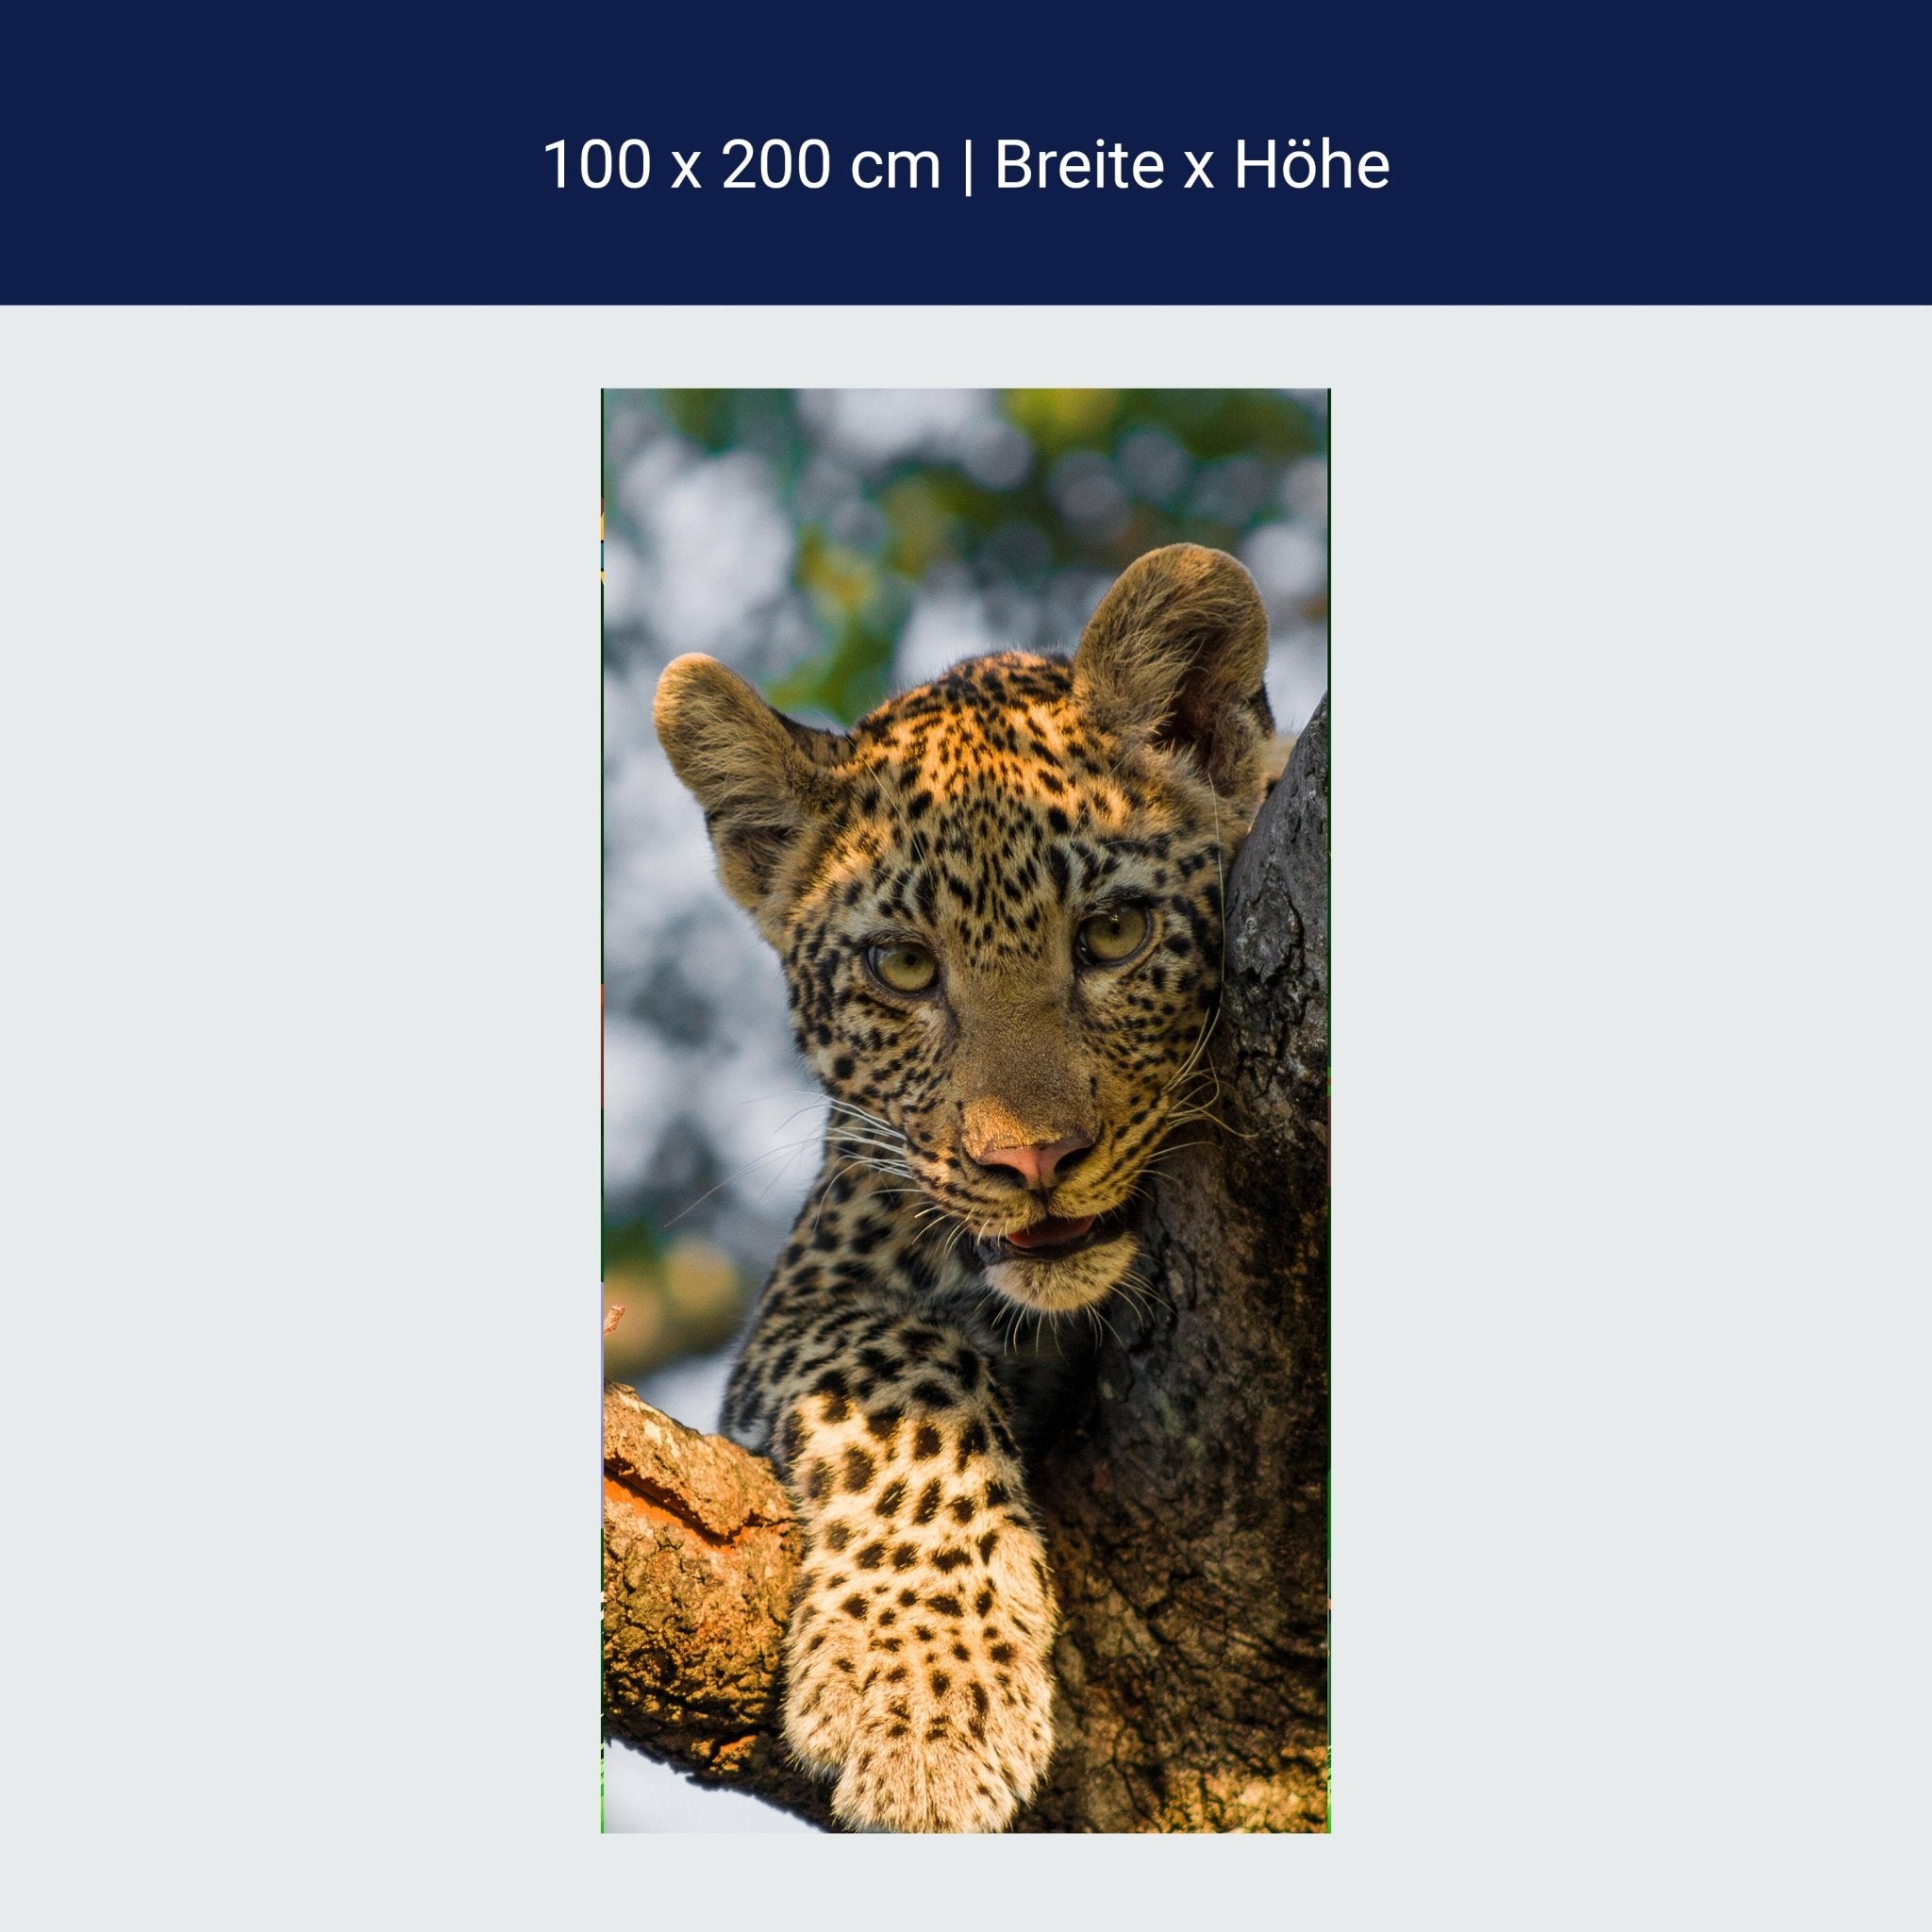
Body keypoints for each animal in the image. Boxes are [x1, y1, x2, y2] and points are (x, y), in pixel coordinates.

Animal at [652, 543, 1278, 1832]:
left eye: (1114, 933)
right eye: (901, 966)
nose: (1030, 1161)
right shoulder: (807, 1294)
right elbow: (903, 1367)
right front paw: (923, 1702)